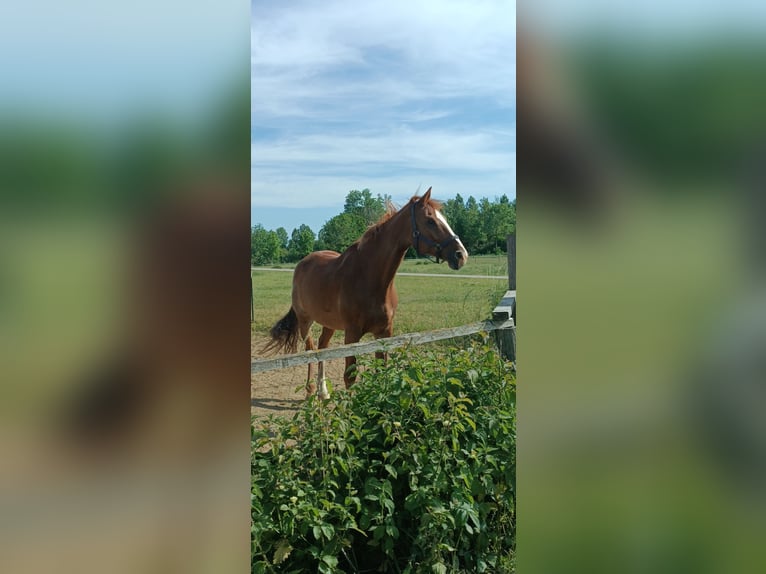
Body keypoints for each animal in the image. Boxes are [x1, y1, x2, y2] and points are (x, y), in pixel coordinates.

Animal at [262, 189, 468, 400]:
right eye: (430, 221)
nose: (461, 255)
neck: (369, 278)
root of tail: (302, 264)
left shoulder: (384, 333)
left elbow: (382, 371)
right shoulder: (352, 334)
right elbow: (350, 377)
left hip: (329, 324)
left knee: (323, 347)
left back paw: (323, 392)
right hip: (306, 321)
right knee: (311, 350)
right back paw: (311, 391)